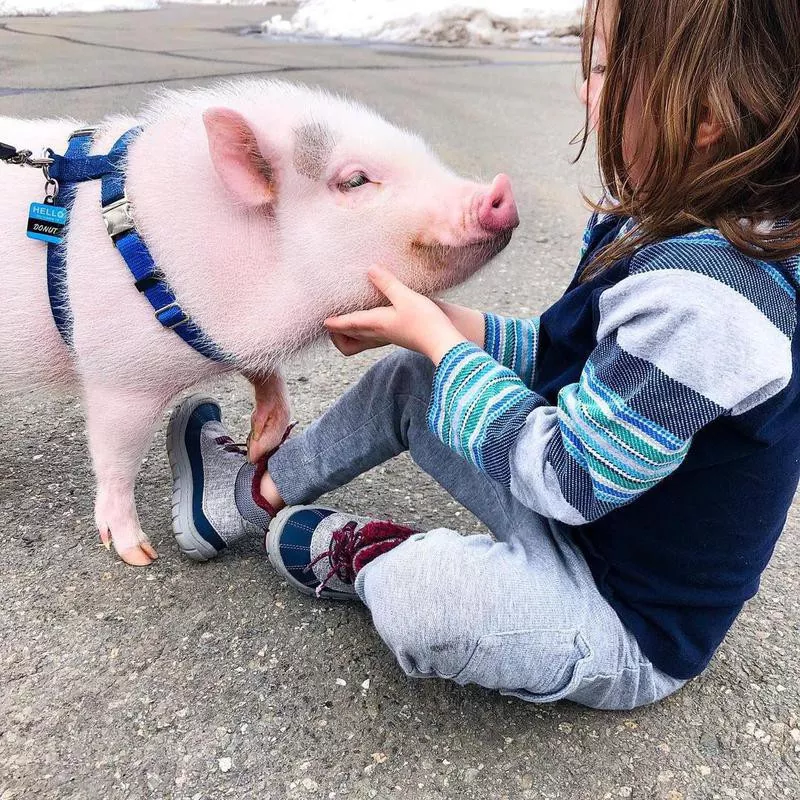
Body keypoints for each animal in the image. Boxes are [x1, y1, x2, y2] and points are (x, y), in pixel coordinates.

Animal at [0, 79, 520, 564]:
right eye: (355, 181)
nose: (500, 190)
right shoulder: (117, 373)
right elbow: (116, 459)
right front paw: (137, 554)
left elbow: (267, 374)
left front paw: (256, 446)